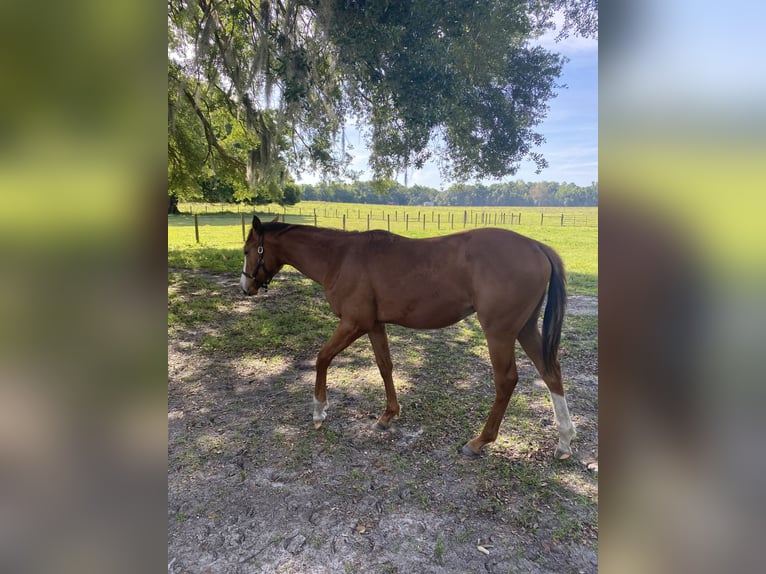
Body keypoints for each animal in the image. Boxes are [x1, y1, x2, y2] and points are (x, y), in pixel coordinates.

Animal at [240, 214, 576, 462]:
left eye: (247, 251)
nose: (246, 287)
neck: (340, 257)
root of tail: (537, 247)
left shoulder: (353, 323)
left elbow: (323, 358)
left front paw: (319, 410)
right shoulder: (374, 325)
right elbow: (384, 366)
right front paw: (389, 414)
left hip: (500, 333)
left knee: (506, 381)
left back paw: (480, 441)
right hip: (525, 329)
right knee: (551, 372)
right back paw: (564, 441)